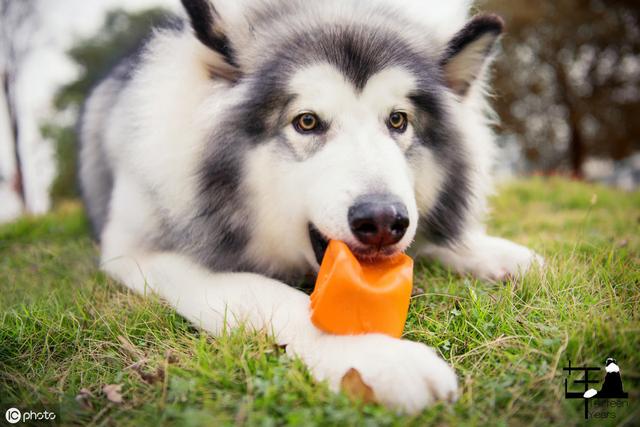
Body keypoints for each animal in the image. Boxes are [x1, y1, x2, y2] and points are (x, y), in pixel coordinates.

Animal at [77, 0, 544, 414]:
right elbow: (262, 293)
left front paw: (498, 254)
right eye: (306, 121)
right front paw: (377, 357)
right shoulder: (139, 252)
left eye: (398, 120)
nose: (383, 220)